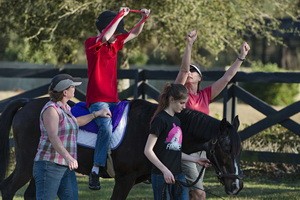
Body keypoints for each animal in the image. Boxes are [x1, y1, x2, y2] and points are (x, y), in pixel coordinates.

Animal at [0, 96, 244, 198]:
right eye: (225, 147)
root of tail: (27, 104)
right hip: (27, 165)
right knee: (8, 188)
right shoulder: (124, 179)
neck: (148, 128)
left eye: (238, 150)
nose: (236, 186)